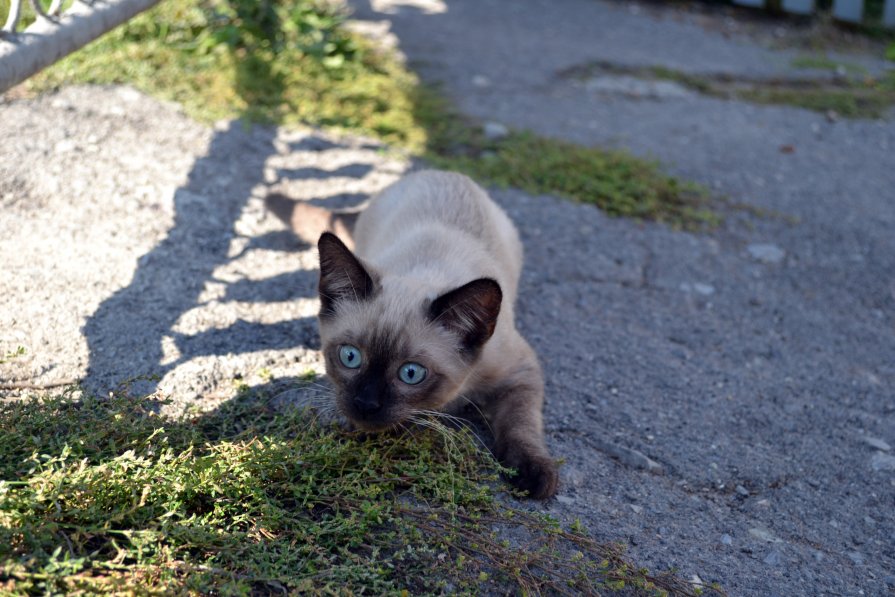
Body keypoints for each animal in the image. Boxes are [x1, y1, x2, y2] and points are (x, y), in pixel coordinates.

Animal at [268, 171, 560, 498]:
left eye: (411, 374)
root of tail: (436, 173)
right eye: (350, 357)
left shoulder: (520, 372)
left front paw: (532, 473)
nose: (366, 404)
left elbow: (520, 422)